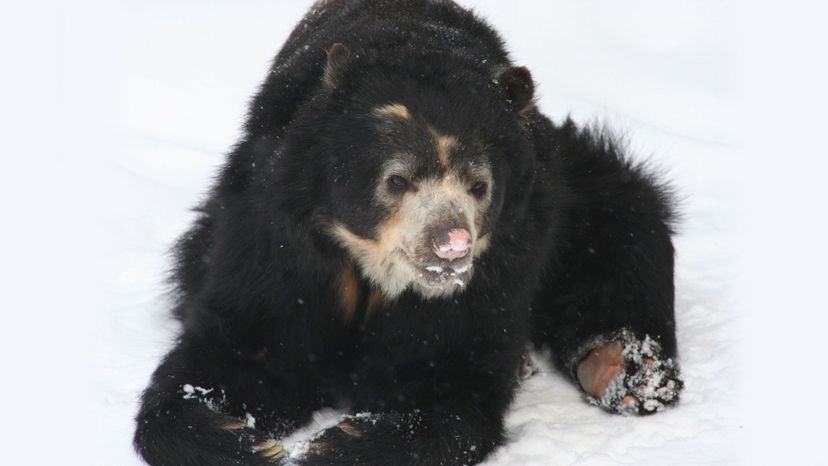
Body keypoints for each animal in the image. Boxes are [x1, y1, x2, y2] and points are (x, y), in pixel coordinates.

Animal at [134, 1, 683, 465]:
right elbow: (248, 341)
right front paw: (242, 440)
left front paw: (332, 446)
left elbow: (446, 373)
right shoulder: (277, 231)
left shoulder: (500, 261)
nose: (451, 245)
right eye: (396, 179)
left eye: (480, 185)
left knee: (626, 223)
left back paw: (624, 368)